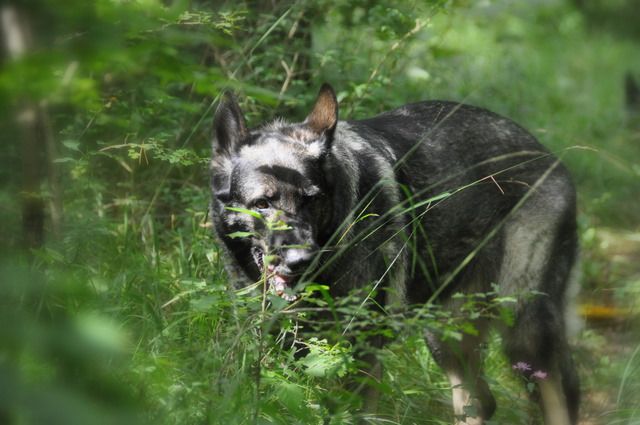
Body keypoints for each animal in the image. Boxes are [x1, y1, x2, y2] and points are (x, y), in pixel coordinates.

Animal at [210, 84, 580, 422]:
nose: (301, 261)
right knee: (481, 401)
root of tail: (549, 156)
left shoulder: (360, 353)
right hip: (445, 333)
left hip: (522, 322)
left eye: (311, 200)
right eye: (262, 203)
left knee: (557, 396)